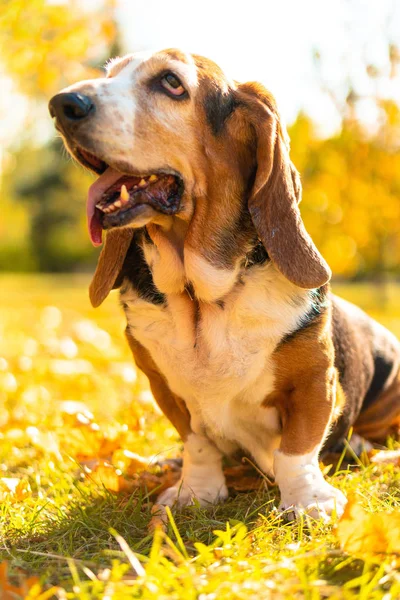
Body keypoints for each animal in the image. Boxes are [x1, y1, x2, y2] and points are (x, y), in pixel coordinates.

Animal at [49, 49, 400, 520]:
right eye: (110, 73)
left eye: (171, 82)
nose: (61, 104)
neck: (202, 298)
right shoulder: (164, 388)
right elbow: (198, 443)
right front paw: (196, 492)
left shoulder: (315, 381)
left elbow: (297, 449)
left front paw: (308, 500)